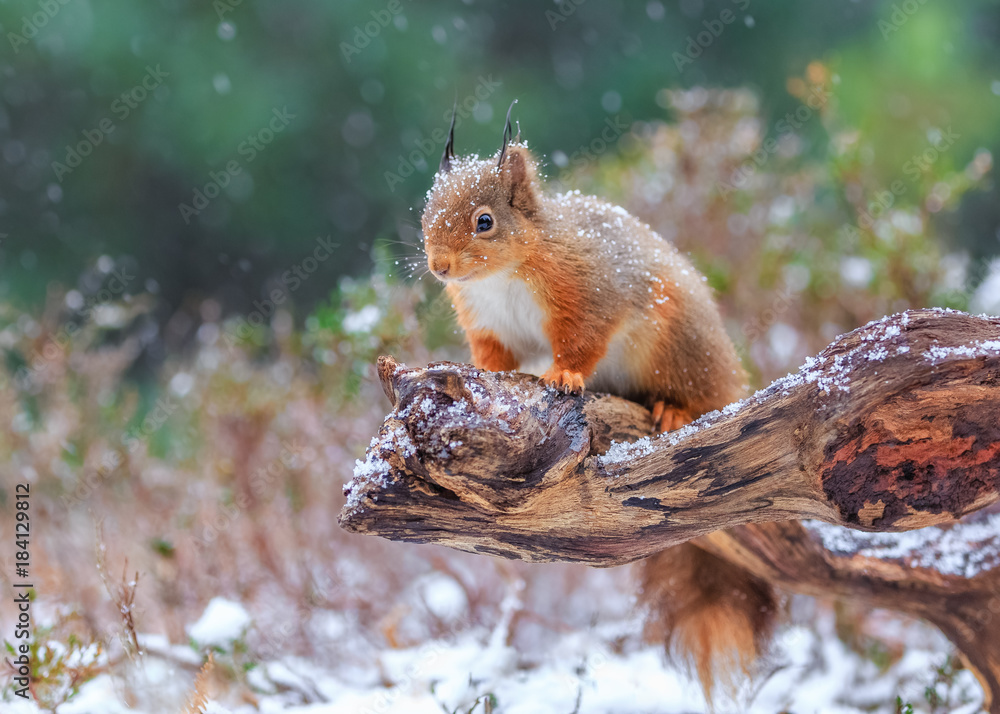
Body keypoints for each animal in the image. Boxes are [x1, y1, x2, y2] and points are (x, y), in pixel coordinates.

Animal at [420, 102, 776, 699]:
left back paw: (675, 409)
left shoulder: (588, 293)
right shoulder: (487, 323)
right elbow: (494, 356)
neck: (503, 276)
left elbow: (583, 342)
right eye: (426, 212)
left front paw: (564, 375)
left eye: (484, 221)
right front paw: (481, 373)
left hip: (679, 347)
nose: (439, 267)